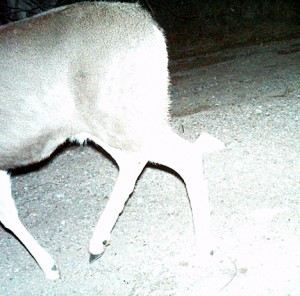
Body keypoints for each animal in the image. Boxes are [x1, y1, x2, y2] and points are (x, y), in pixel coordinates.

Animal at [0, 1, 224, 280]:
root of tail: (148, 25)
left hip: (119, 115)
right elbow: (7, 213)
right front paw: (50, 267)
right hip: (106, 121)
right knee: (134, 161)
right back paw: (99, 242)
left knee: (183, 155)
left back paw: (205, 249)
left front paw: (49, 267)